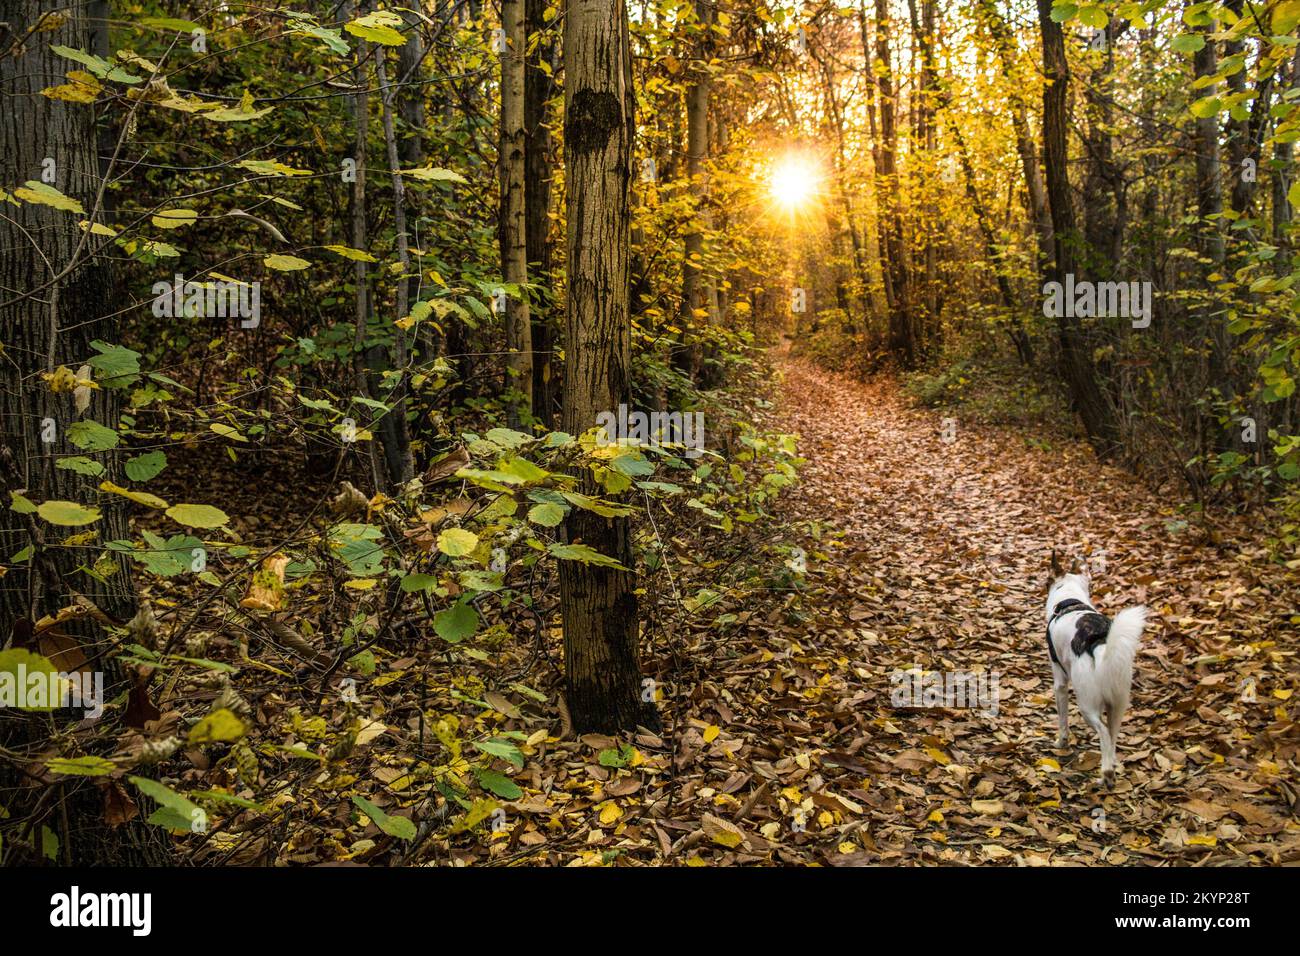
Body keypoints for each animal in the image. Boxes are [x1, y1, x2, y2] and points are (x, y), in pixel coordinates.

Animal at [1045, 556, 1149, 790]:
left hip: (1087, 703)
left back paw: (1107, 774)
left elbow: (1063, 721)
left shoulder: (1060, 683)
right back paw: (1109, 768)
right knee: (1111, 737)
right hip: (1117, 704)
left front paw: (1061, 742)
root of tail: (1099, 645)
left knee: (1102, 732)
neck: (1070, 599)